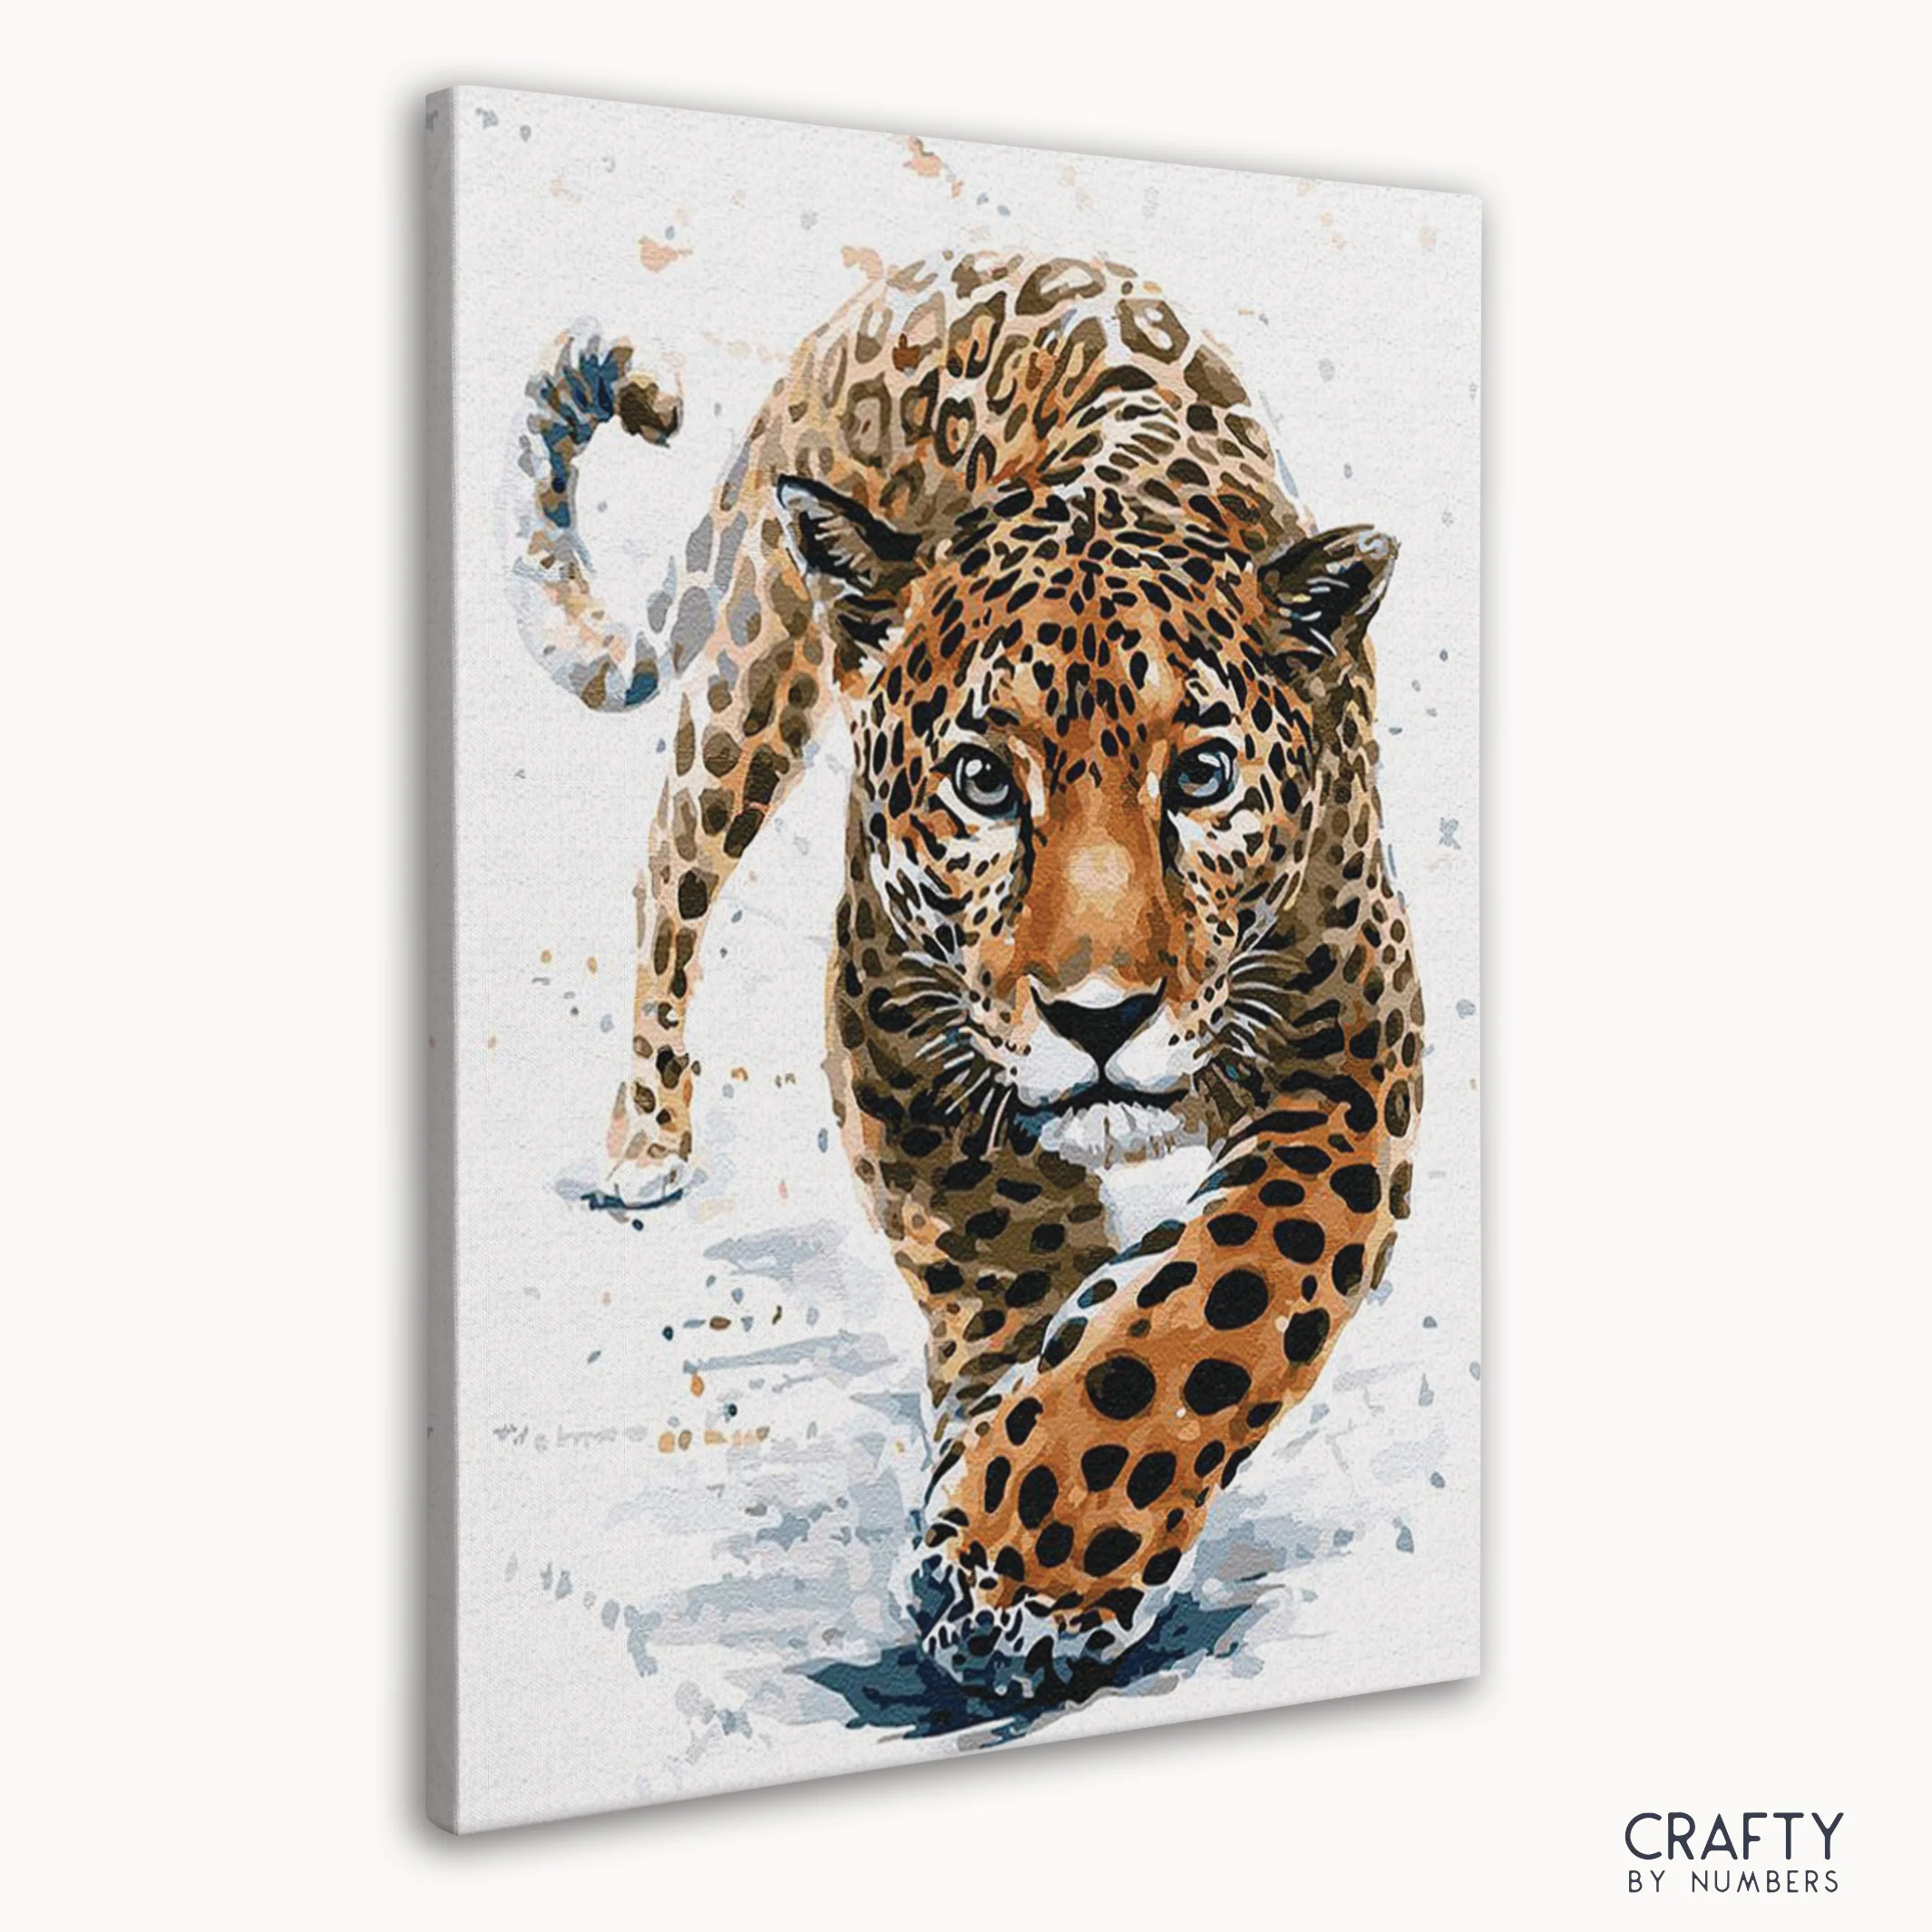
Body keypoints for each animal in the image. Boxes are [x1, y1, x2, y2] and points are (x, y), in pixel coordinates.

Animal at [510, 248, 1424, 1700]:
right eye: (986, 781)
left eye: (1203, 775)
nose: (1100, 1016)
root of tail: (919, 271)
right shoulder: (896, 1030)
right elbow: (1016, 1258)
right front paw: (1009, 1531)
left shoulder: (1353, 1057)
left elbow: (1224, 1297)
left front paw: (1026, 1556)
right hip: (755, 676)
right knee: (666, 873)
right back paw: (646, 1135)